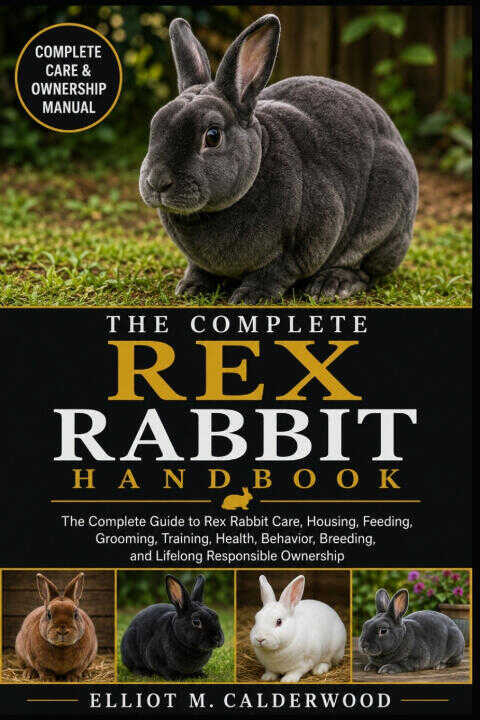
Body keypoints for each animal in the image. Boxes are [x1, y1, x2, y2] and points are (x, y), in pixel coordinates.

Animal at [139, 14, 418, 304]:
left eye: (212, 136)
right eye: (155, 125)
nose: (157, 182)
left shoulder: (303, 242)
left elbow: (275, 271)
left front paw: (251, 296)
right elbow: (199, 268)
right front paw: (191, 287)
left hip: (385, 219)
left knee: (365, 269)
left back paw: (331, 284)